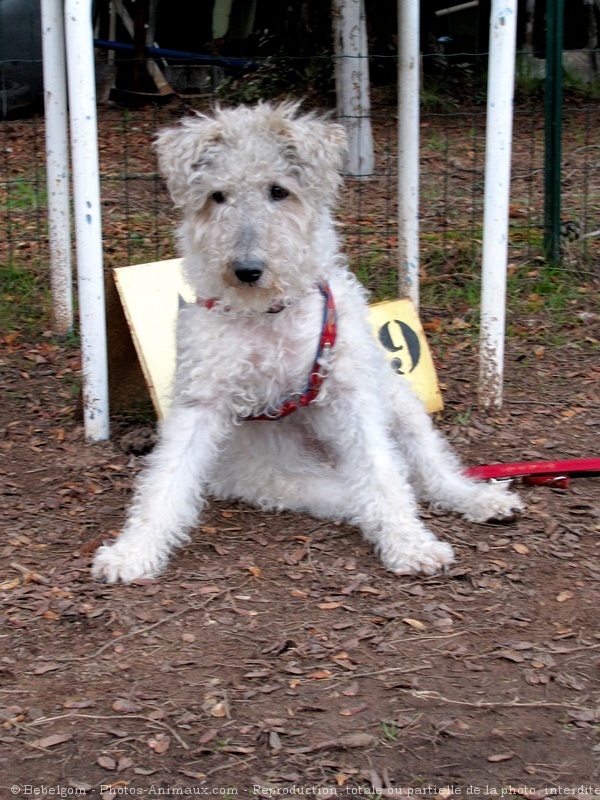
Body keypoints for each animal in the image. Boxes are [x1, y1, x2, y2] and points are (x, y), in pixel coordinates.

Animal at [91, 103, 524, 584]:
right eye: (217, 196)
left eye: (279, 191)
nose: (246, 270)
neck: (269, 314)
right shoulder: (202, 400)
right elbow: (165, 480)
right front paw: (133, 552)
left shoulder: (350, 392)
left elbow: (382, 472)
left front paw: (412, 547)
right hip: (286, 481)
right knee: (374, 491)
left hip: (400, 404)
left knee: (425, 474)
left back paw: (483, 500)